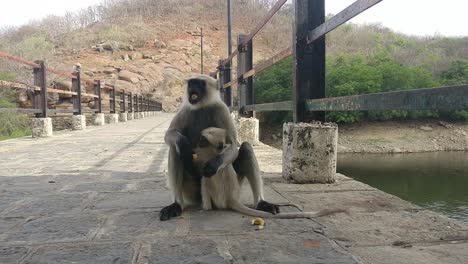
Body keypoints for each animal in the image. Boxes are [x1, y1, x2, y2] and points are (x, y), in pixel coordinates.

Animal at [159, 73, 280, 220]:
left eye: (200, 83)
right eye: (191, 82)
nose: (192, 85)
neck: (201, 107)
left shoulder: (222, 110)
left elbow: (233, 145)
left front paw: (213, 165)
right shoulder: (185, 110)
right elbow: (169, 135)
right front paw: (182, 142)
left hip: (236, 185)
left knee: (246, 147)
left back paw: (261, 203)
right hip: (191, 192)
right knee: (175, 150)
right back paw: (177, 204)